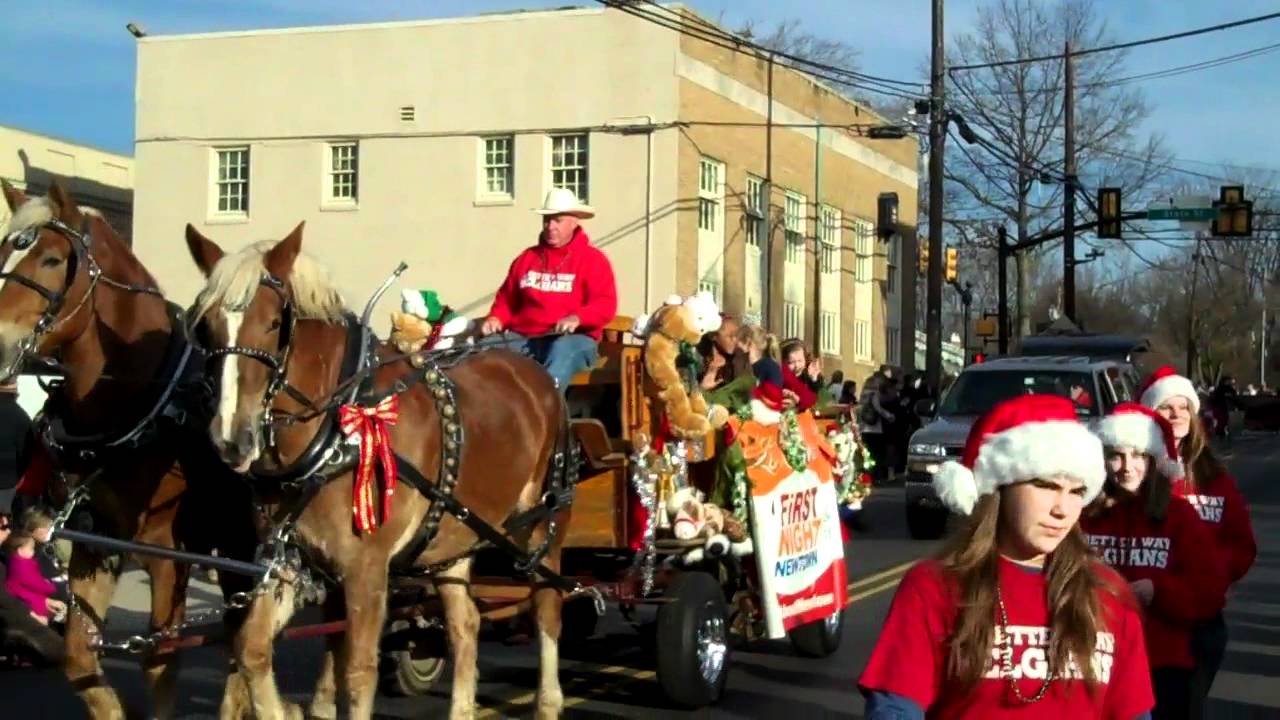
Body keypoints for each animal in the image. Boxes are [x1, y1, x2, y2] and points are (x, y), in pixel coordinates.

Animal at [0, 175, 261, 717]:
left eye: (51, 259)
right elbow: (80, 657)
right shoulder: (95, 542)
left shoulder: (167, 551)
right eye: (2, 251)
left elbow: (160, 661)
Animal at [183, 224, 573, 717]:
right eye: (204, 326)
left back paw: (548, 700)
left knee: (547, 608)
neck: (336, 429)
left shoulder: (366, 567)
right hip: (452, 536)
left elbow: (358, 671)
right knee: (464, 624)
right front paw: (282, 708)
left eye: (274, 323)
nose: (232, 439)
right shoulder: (291, 559)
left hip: (541, 527)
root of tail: (539, 377)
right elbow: (251, 647)